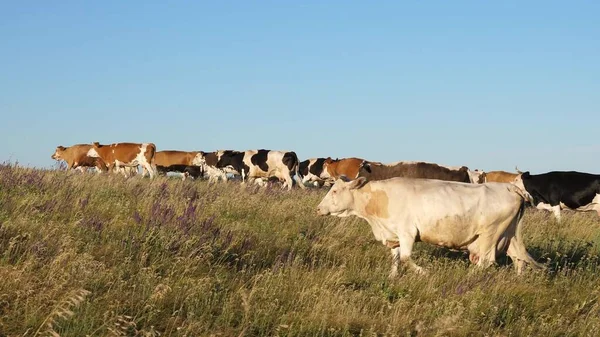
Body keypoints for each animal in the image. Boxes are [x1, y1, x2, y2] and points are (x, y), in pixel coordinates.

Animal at [316, 176, 548, 276]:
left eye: (334, 191)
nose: (318, 209)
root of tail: (510, 187)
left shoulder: (407, 233)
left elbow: (406, 258)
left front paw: (423, 272)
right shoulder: (394, 235)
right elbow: (396, 259)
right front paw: (392, 277)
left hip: (490, 236)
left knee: (486, 261)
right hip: (510, 235)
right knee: (519, 260)